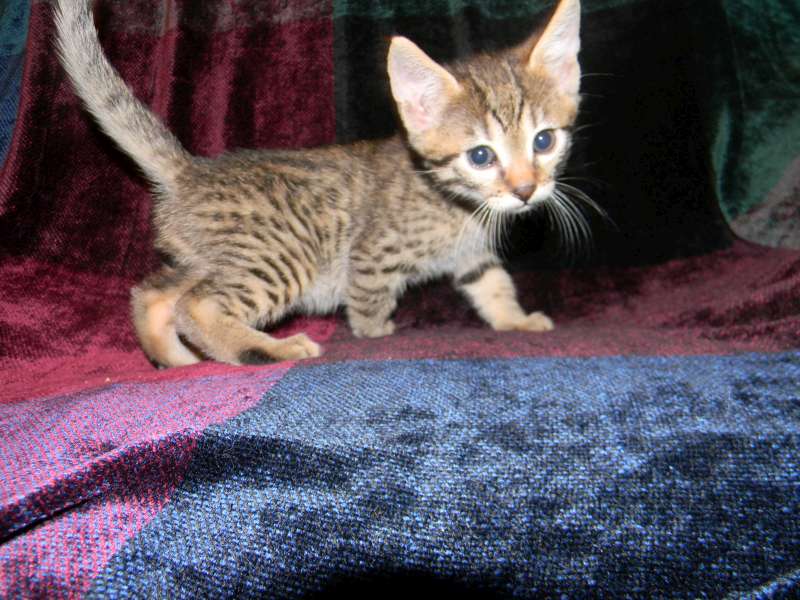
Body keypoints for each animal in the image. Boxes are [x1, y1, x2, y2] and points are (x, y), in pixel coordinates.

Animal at [54, 0, 583, 367]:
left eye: (543, 141)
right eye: (480, 156)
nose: (525, 190)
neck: (458, 204)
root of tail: (191, 170)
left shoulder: (473, 256)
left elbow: (494, 285)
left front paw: (516, 320)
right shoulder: (373, 254)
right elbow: (368, 299)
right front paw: (377, 332)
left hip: (205, 256)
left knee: (154, 293)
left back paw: (174, 358)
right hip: (283, 254)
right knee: (197, 306)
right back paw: (269, 350)